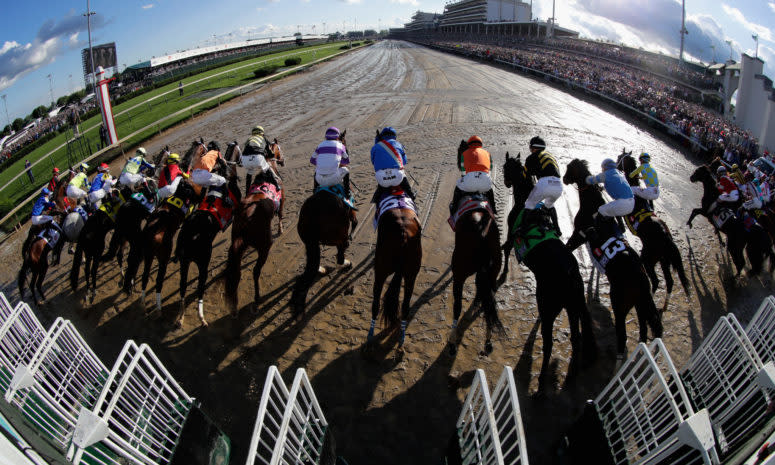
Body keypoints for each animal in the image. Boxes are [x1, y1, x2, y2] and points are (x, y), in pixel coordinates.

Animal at [292, 130, 360, 316]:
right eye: (346, 145)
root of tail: (312, 216)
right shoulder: (351, 215)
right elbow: (355, 223)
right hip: (338, 235)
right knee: (340, 256)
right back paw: (346, 263)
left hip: (310, 242)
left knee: (313, 262)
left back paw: (321, 269)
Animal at [366, 192, 422, 348]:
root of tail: (403, 235)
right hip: (411, 274)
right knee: (405, 307)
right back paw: (401, 341)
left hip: (381, 271)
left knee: (375, 304)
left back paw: (370, 337)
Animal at [500, 154, 596, 378]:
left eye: (505, 168)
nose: (506, 182)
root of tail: (570, 275)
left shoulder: (511, 236)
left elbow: (506, 249)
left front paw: (504, 271)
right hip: (573, 308)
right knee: (576, 339)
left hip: (548, 304)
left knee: (549, 343)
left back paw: (542, 377)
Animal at [560, 158, 664, 360]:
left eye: (569, 168)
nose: (564, 179)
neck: (592, 205)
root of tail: (642, 280)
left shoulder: (579, 235)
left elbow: (569, 247)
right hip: (640, 306)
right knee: (642, 331)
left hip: (619, 304)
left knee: (622, 335)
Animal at [620, 150, 692, 308]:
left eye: (619, 158)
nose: (616, 165)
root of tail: (667, 239)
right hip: (663, 261)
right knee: (669, 281)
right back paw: (664, 305)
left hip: (648, 259)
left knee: (656, 281)